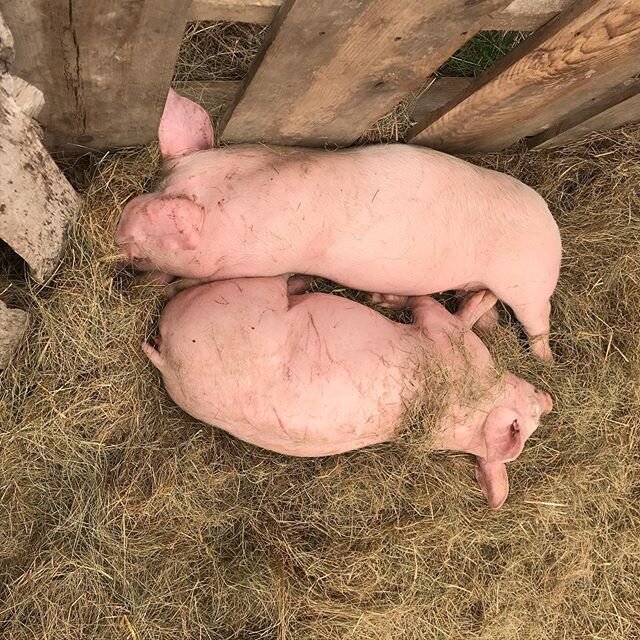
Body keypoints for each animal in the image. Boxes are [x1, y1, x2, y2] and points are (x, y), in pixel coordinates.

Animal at [117, 89, 562, 360]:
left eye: (143, 248)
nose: (119, 243)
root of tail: (550, 221)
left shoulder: (257, 264)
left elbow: (186, 283)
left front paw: (154, 286)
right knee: (482, 307)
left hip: (527, 281)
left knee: (538, 320)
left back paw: (545, 360)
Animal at [142, 276, 553, 509]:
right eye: (534, 410)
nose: (548, 398)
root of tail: (168, 360)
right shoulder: (440, 332)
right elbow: (434, 305)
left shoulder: (439, 334)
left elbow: (436, 308)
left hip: (248, 294)